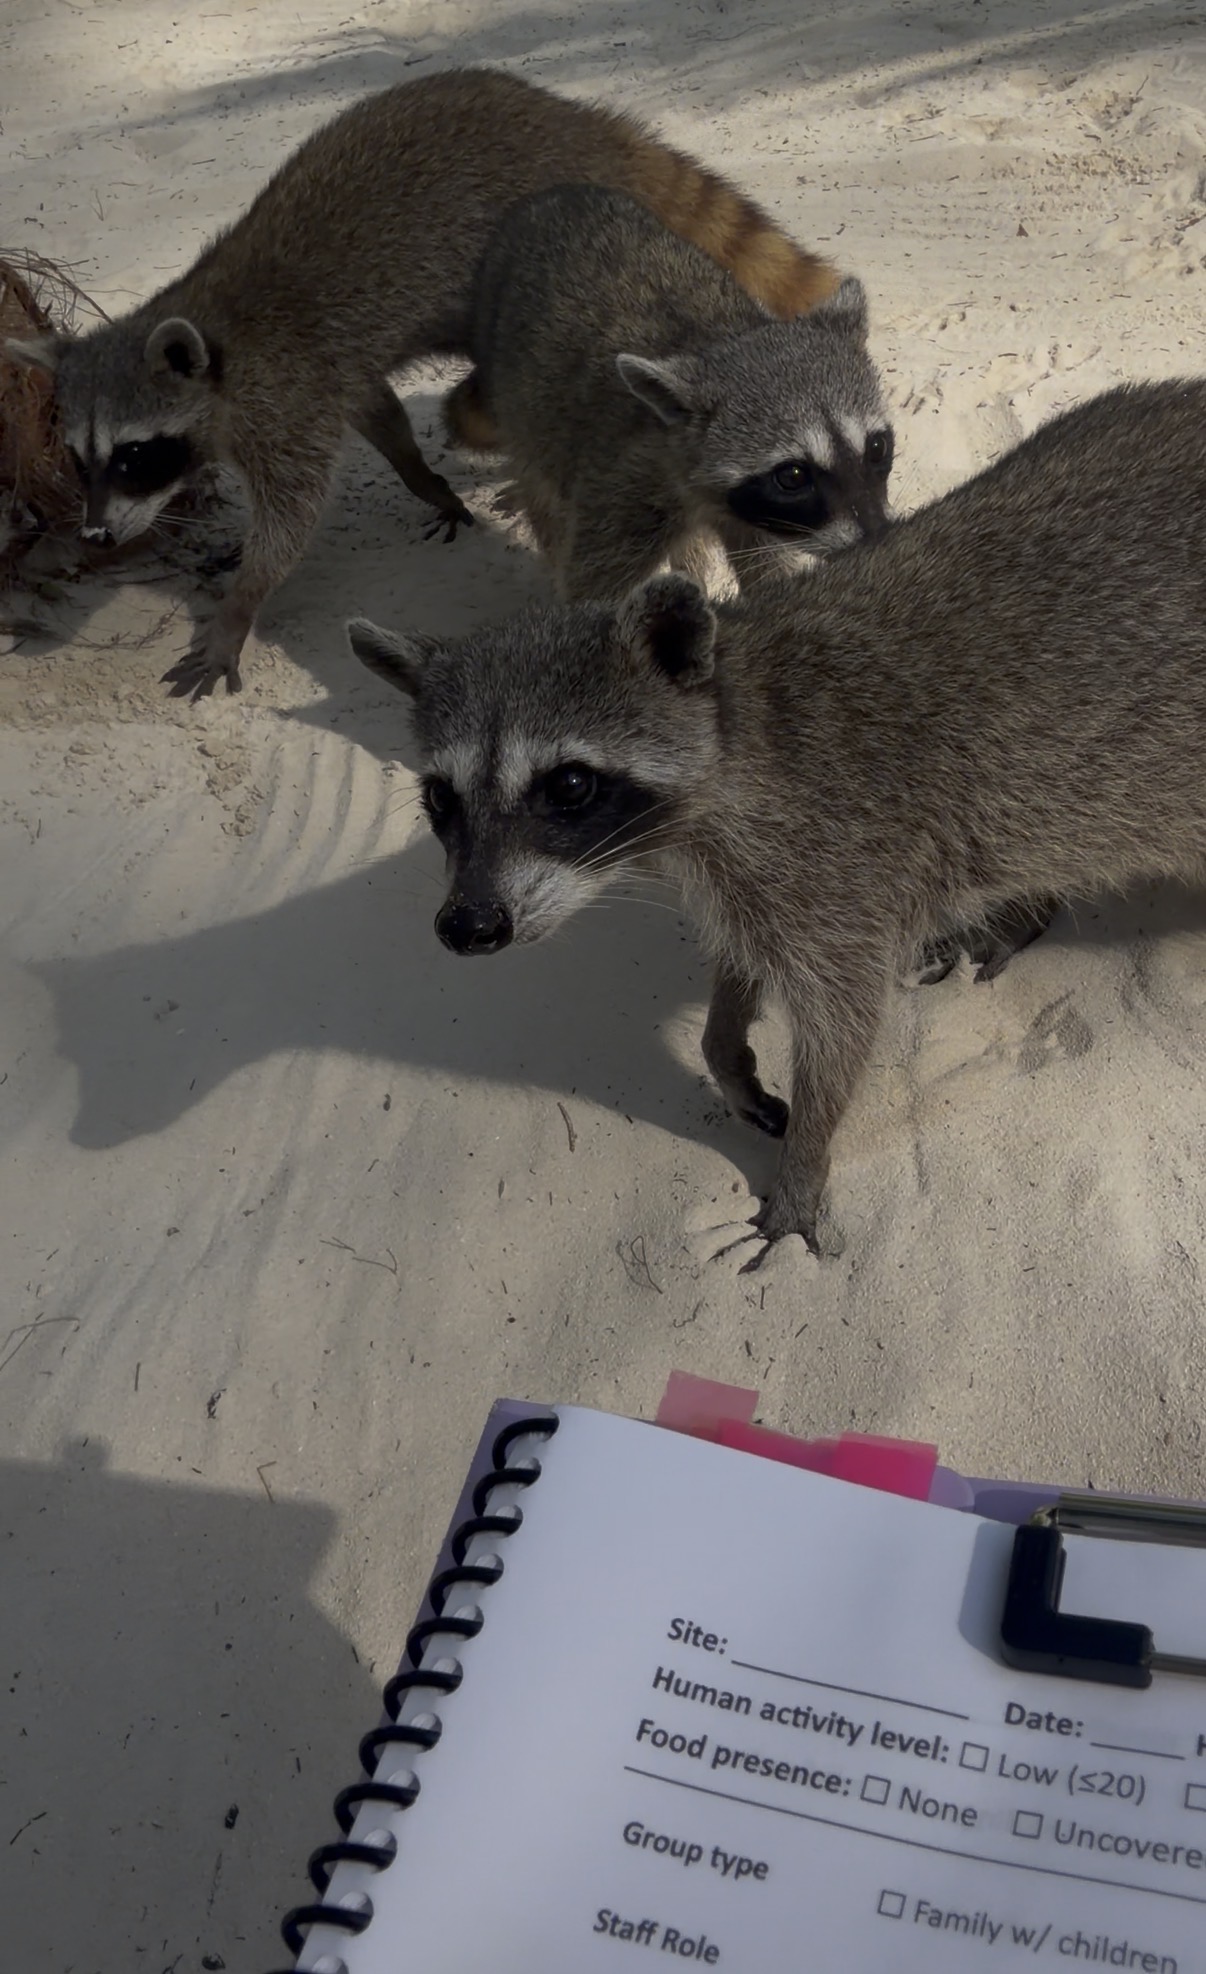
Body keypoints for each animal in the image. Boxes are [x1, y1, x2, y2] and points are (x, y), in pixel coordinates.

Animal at [6, 69, 838, 701]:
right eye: (78, 457)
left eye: (134, 454)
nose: (95, 535)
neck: (215, 347)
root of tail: (575, 120)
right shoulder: (330, 377)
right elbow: (377, 413)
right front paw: (422, 478)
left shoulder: (287, 396)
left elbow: (293, 519)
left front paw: (239, 607)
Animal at [348, 378, 1206, 1261]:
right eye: (440, 798)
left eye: (572, 785)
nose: (468, 926)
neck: (731, 735)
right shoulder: (748, 876)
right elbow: (740, 959)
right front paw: (726, 1046)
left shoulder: (835, 863)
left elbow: (842, 1024)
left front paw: (803, 1169)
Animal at [446, 184, 892, 601]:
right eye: (793, 476)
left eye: (876, 447)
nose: (879, 542)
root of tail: (556, 193)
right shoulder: (624, 486)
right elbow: (592, 589)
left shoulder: (755, 518)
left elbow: (769, 574)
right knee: (544, 499)